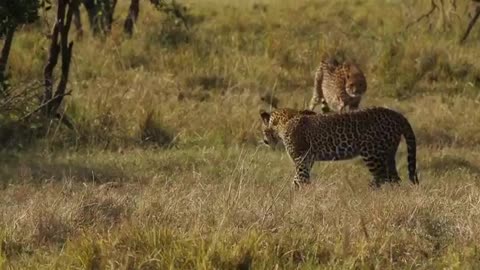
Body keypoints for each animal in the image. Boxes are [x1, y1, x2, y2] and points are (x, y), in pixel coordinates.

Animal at [260, 107, 418, 188]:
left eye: (263, 130)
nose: (265, 141)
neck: (283, 122)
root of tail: (397, 114)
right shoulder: (308, 159)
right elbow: (297, 179)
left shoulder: (301, 158)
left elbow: (301, 178)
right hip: (388, 154)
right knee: (394, 179)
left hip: (371, 153)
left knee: (382, 178)